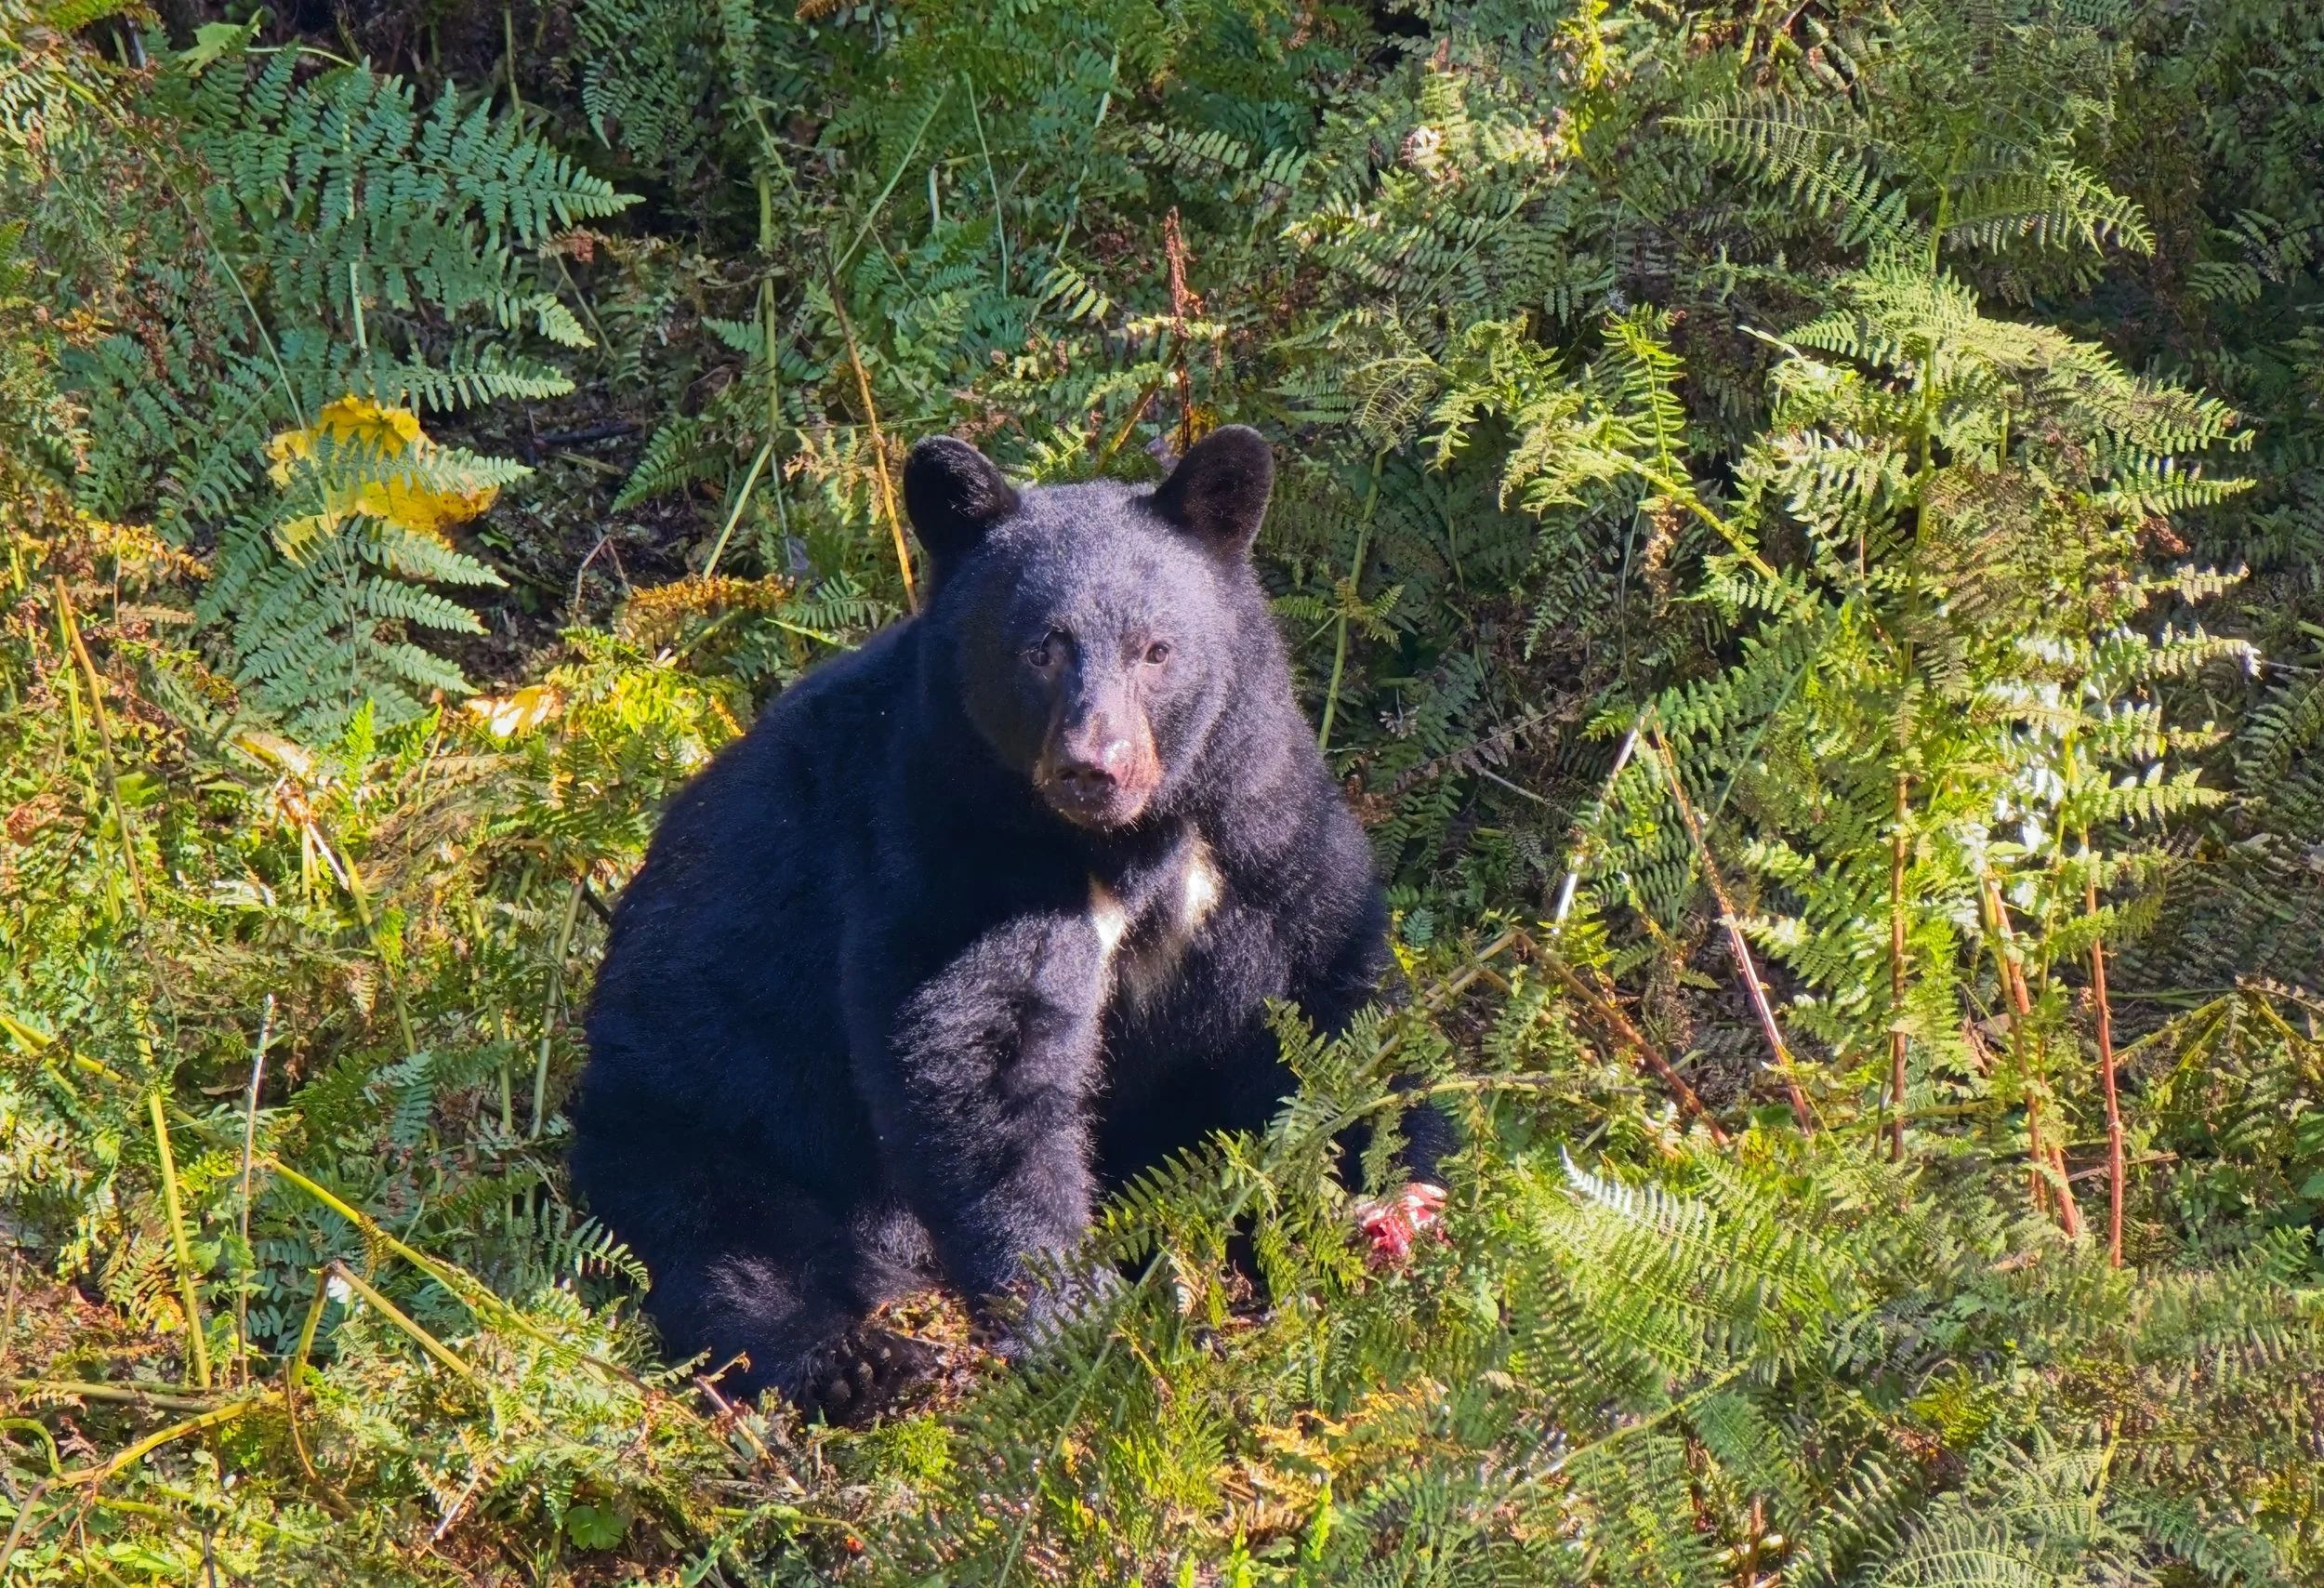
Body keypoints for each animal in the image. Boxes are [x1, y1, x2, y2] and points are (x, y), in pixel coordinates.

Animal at [573, 425, 1446, 1419]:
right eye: (1040, 648)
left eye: (1157, 649)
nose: (1093, 767)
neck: (1127, 839)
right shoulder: (947, 838)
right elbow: (984, 1055)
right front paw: (1080, 1317)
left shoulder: (1259, 814)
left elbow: (1334, 984)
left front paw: (1396, 1203)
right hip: (700, 1114)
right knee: (731, 1250)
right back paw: (860, 1362)